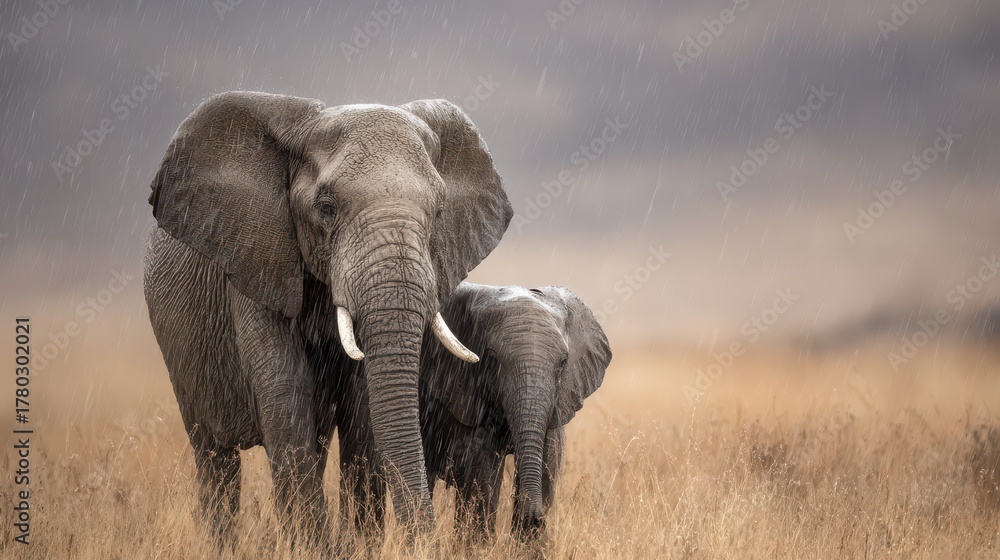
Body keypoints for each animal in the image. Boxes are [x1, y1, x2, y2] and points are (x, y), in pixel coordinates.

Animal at [142, 91, 513, 546]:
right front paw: (313, 546)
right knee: (214, 455)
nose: (430, 543)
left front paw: (358, 546)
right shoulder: (255, 259)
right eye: (326, 208)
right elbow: (285, 388)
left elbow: (363, 403)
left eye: (440, 211)